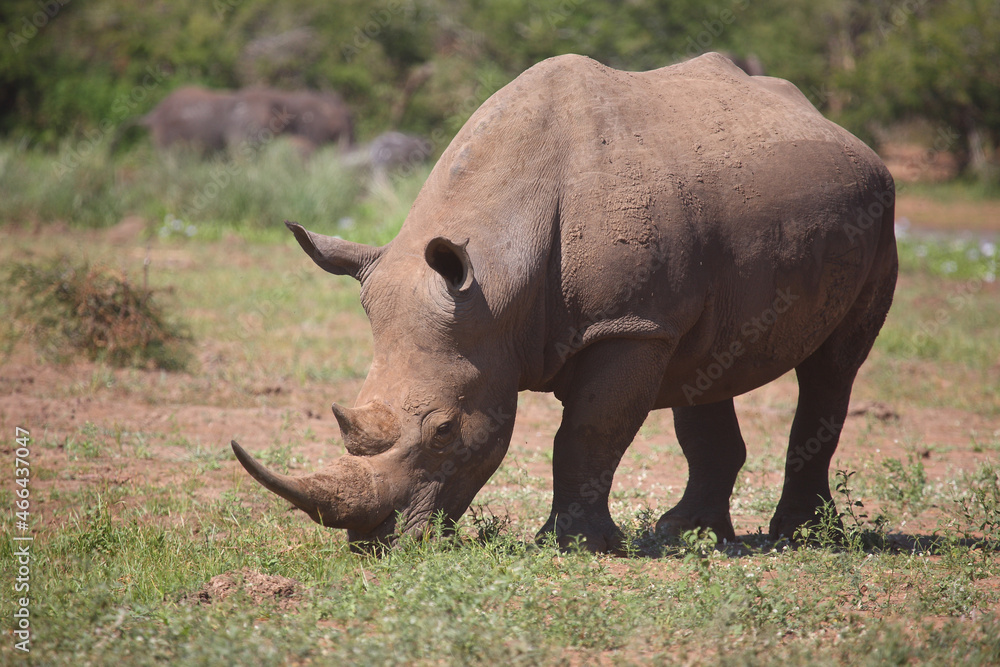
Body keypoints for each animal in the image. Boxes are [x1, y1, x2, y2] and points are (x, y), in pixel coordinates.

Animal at [232, 53, 898, 553]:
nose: (374, 543)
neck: (497, 282)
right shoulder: (630, 320)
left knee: (832, 370)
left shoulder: (629, 325)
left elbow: (587, 430)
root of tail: (845, 133)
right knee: (707, 366)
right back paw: (686, 535)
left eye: (444, 431)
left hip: (880, 211)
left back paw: (800, 538)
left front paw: (575, 545)